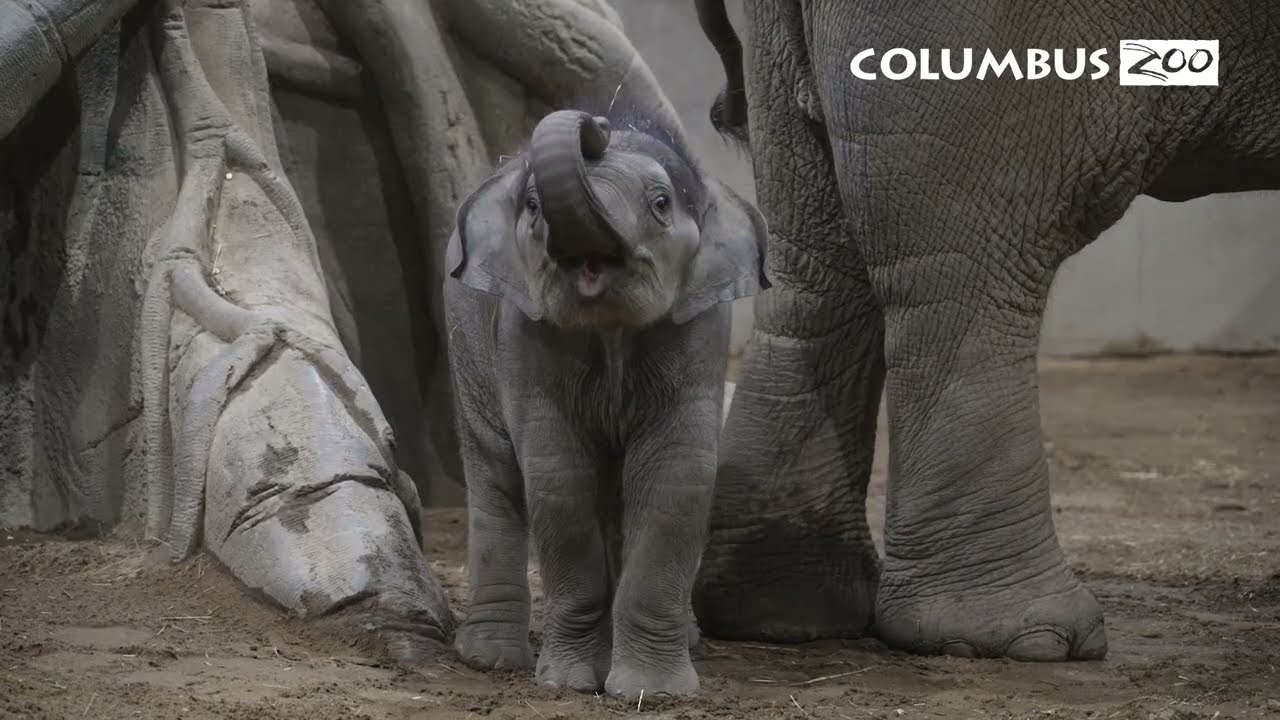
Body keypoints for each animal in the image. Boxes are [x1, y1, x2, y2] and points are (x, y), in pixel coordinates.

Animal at [443, 107, 770, 698]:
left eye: (660, 203)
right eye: (531, 207)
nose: (596, 122)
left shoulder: (701, 327)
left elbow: (676, 473)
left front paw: (653, 692)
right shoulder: (525, 333)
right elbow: (559, 477)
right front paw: (571, 683)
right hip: (465, 344)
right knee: (496, 475)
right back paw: (492, 660)